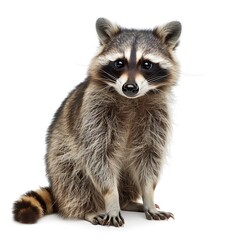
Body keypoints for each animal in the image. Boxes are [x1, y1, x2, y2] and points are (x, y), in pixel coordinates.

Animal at [12, 17, 182, 226]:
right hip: (60, 160)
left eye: (147, 64)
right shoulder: (94, 113)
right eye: (119, 63)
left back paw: (127, 201)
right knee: (74, 180)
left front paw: (148, 196)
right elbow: (99, 157)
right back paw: (89, 210)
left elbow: (149, 155)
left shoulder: (157, 115)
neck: (131, 100)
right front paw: (111, 200)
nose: (130, 87)